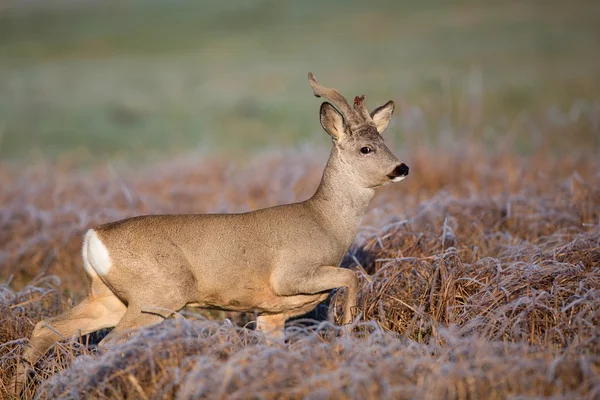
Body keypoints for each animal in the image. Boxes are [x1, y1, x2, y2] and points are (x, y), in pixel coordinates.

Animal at [10, 73, 408, 396]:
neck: (325, 222)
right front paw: (349, 332)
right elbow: (351, 277)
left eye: (386, 142)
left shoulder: (271, 313)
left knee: (46, 327)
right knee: (107, 344)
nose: (401, 168)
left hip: (108, 298)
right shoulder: (291, 275)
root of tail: (94, 236)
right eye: (365, 148)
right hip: (159, 293)